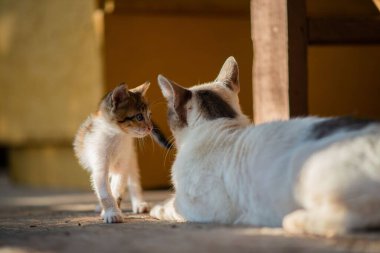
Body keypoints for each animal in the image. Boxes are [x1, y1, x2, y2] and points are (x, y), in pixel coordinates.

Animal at [149, 56, 380, 236]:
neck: (219, 124)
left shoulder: (203, 207)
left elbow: (173, 205)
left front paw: (155, 208)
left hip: (305, 166)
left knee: (355, 215)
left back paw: (294, 220)